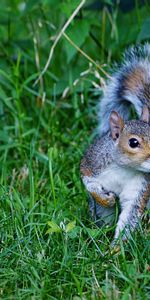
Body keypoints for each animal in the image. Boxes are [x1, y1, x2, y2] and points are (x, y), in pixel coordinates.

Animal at [80, 44, 150, 241]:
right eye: (133, 142)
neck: (125, 169)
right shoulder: (92, 163)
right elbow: (89, 183)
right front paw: (106, 198)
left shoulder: (140, 188)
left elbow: (129, 217)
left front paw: (116, 248)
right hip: (100, 212)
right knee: (103, 216)